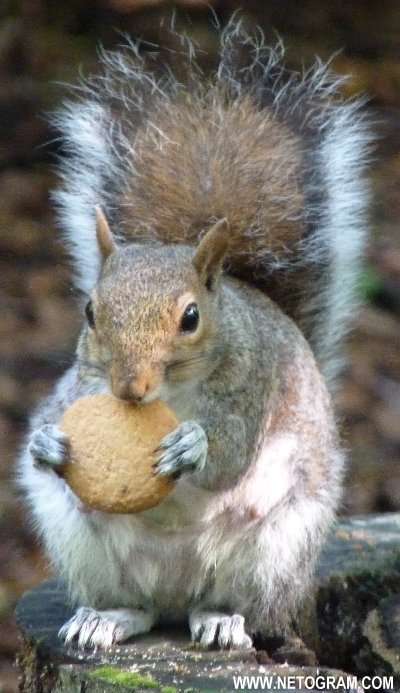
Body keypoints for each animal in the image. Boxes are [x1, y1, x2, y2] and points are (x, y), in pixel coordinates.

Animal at [18, 20, 370, 650]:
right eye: (89, 311)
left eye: (190, 318)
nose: (129, 389)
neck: (171, 397)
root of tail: (175, 593)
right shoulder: (81, 388)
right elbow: (52, 423)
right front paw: (50, 445)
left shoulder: (255, 388)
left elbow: (229, 458)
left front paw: (193, 446)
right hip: (84, 543)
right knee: (139, 607)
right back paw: (105, 618)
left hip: (273, 550)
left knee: (229, 605)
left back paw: (222, 621)